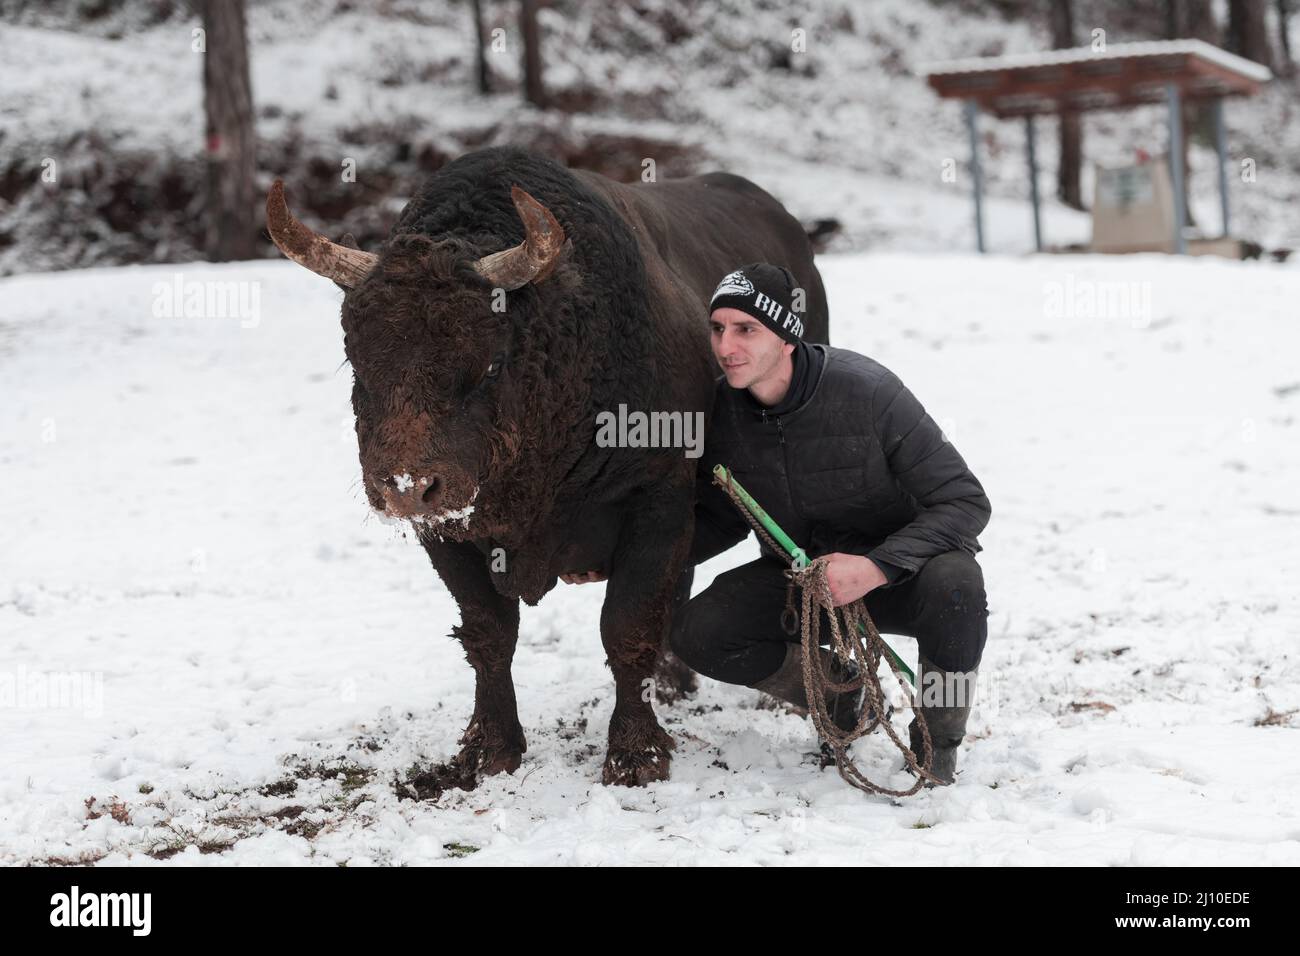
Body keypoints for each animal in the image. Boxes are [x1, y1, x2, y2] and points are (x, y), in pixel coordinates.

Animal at [267, 145, 826, 790]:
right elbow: (488, 633)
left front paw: (635, 755)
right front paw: (489, 749)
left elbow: (628, 624)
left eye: (489, 363)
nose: (407, 487)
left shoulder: (656, 497)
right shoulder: (449, 531)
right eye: (356, 361)